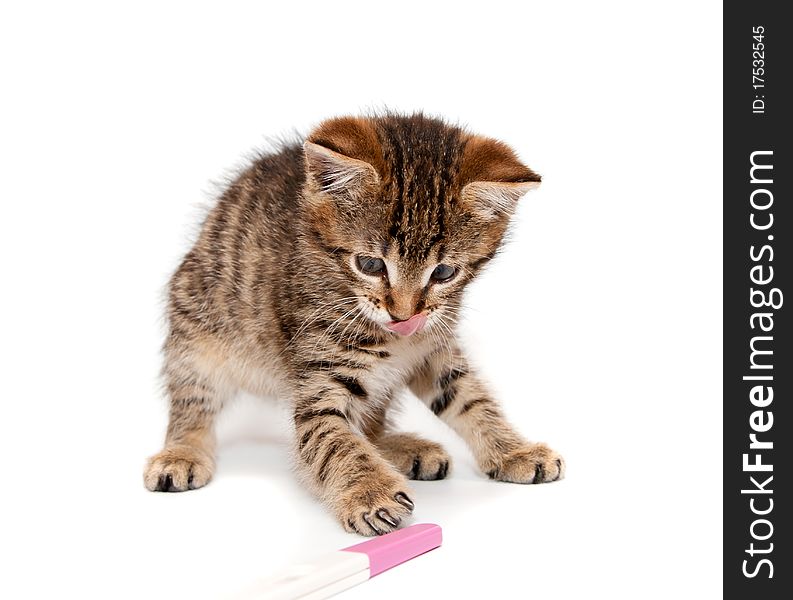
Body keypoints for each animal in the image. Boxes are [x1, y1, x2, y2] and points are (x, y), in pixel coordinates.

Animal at [144, 115, 564, 536]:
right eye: (370, 265)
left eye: (444, 273)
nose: (404, 316)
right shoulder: (320, 373)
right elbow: (334, 439)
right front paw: (370, 492)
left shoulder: (434, 344)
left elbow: (469, 397)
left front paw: (514, 450)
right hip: (197, 327)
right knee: (192, 400)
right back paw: (180, 452)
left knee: (372, 425)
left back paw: (401, 448)